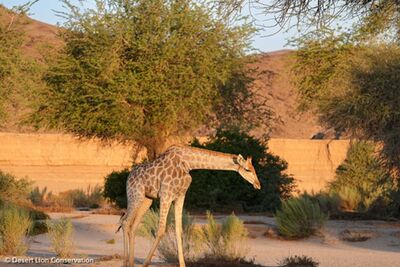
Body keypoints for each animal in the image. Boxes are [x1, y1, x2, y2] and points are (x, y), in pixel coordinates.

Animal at [120, 146, 260, 266]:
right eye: (247, 169)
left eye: (254, 169)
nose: (258, 185)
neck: (188, 164)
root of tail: (128, 176)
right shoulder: (166, 195)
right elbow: (160, 230)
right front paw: (145, 264)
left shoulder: (180, 196)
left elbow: (178, 230)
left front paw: (183, 264)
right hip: (135, 195)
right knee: (125, 222)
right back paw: (125, 263)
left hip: (146, 200)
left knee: (132, 225)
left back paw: (131, 263)